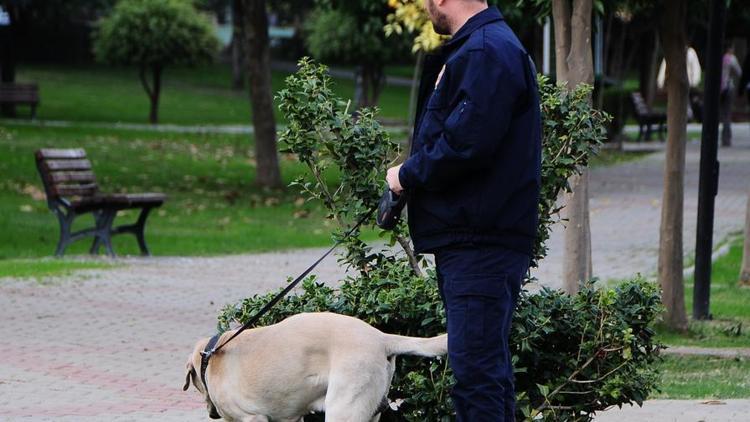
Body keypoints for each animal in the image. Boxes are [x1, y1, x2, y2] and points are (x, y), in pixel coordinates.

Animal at [185, 312, 450, 420]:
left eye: (197, 385)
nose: (212, 414)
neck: (212, 357)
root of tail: (381, 337)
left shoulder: (252, 418)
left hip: (344, 409)